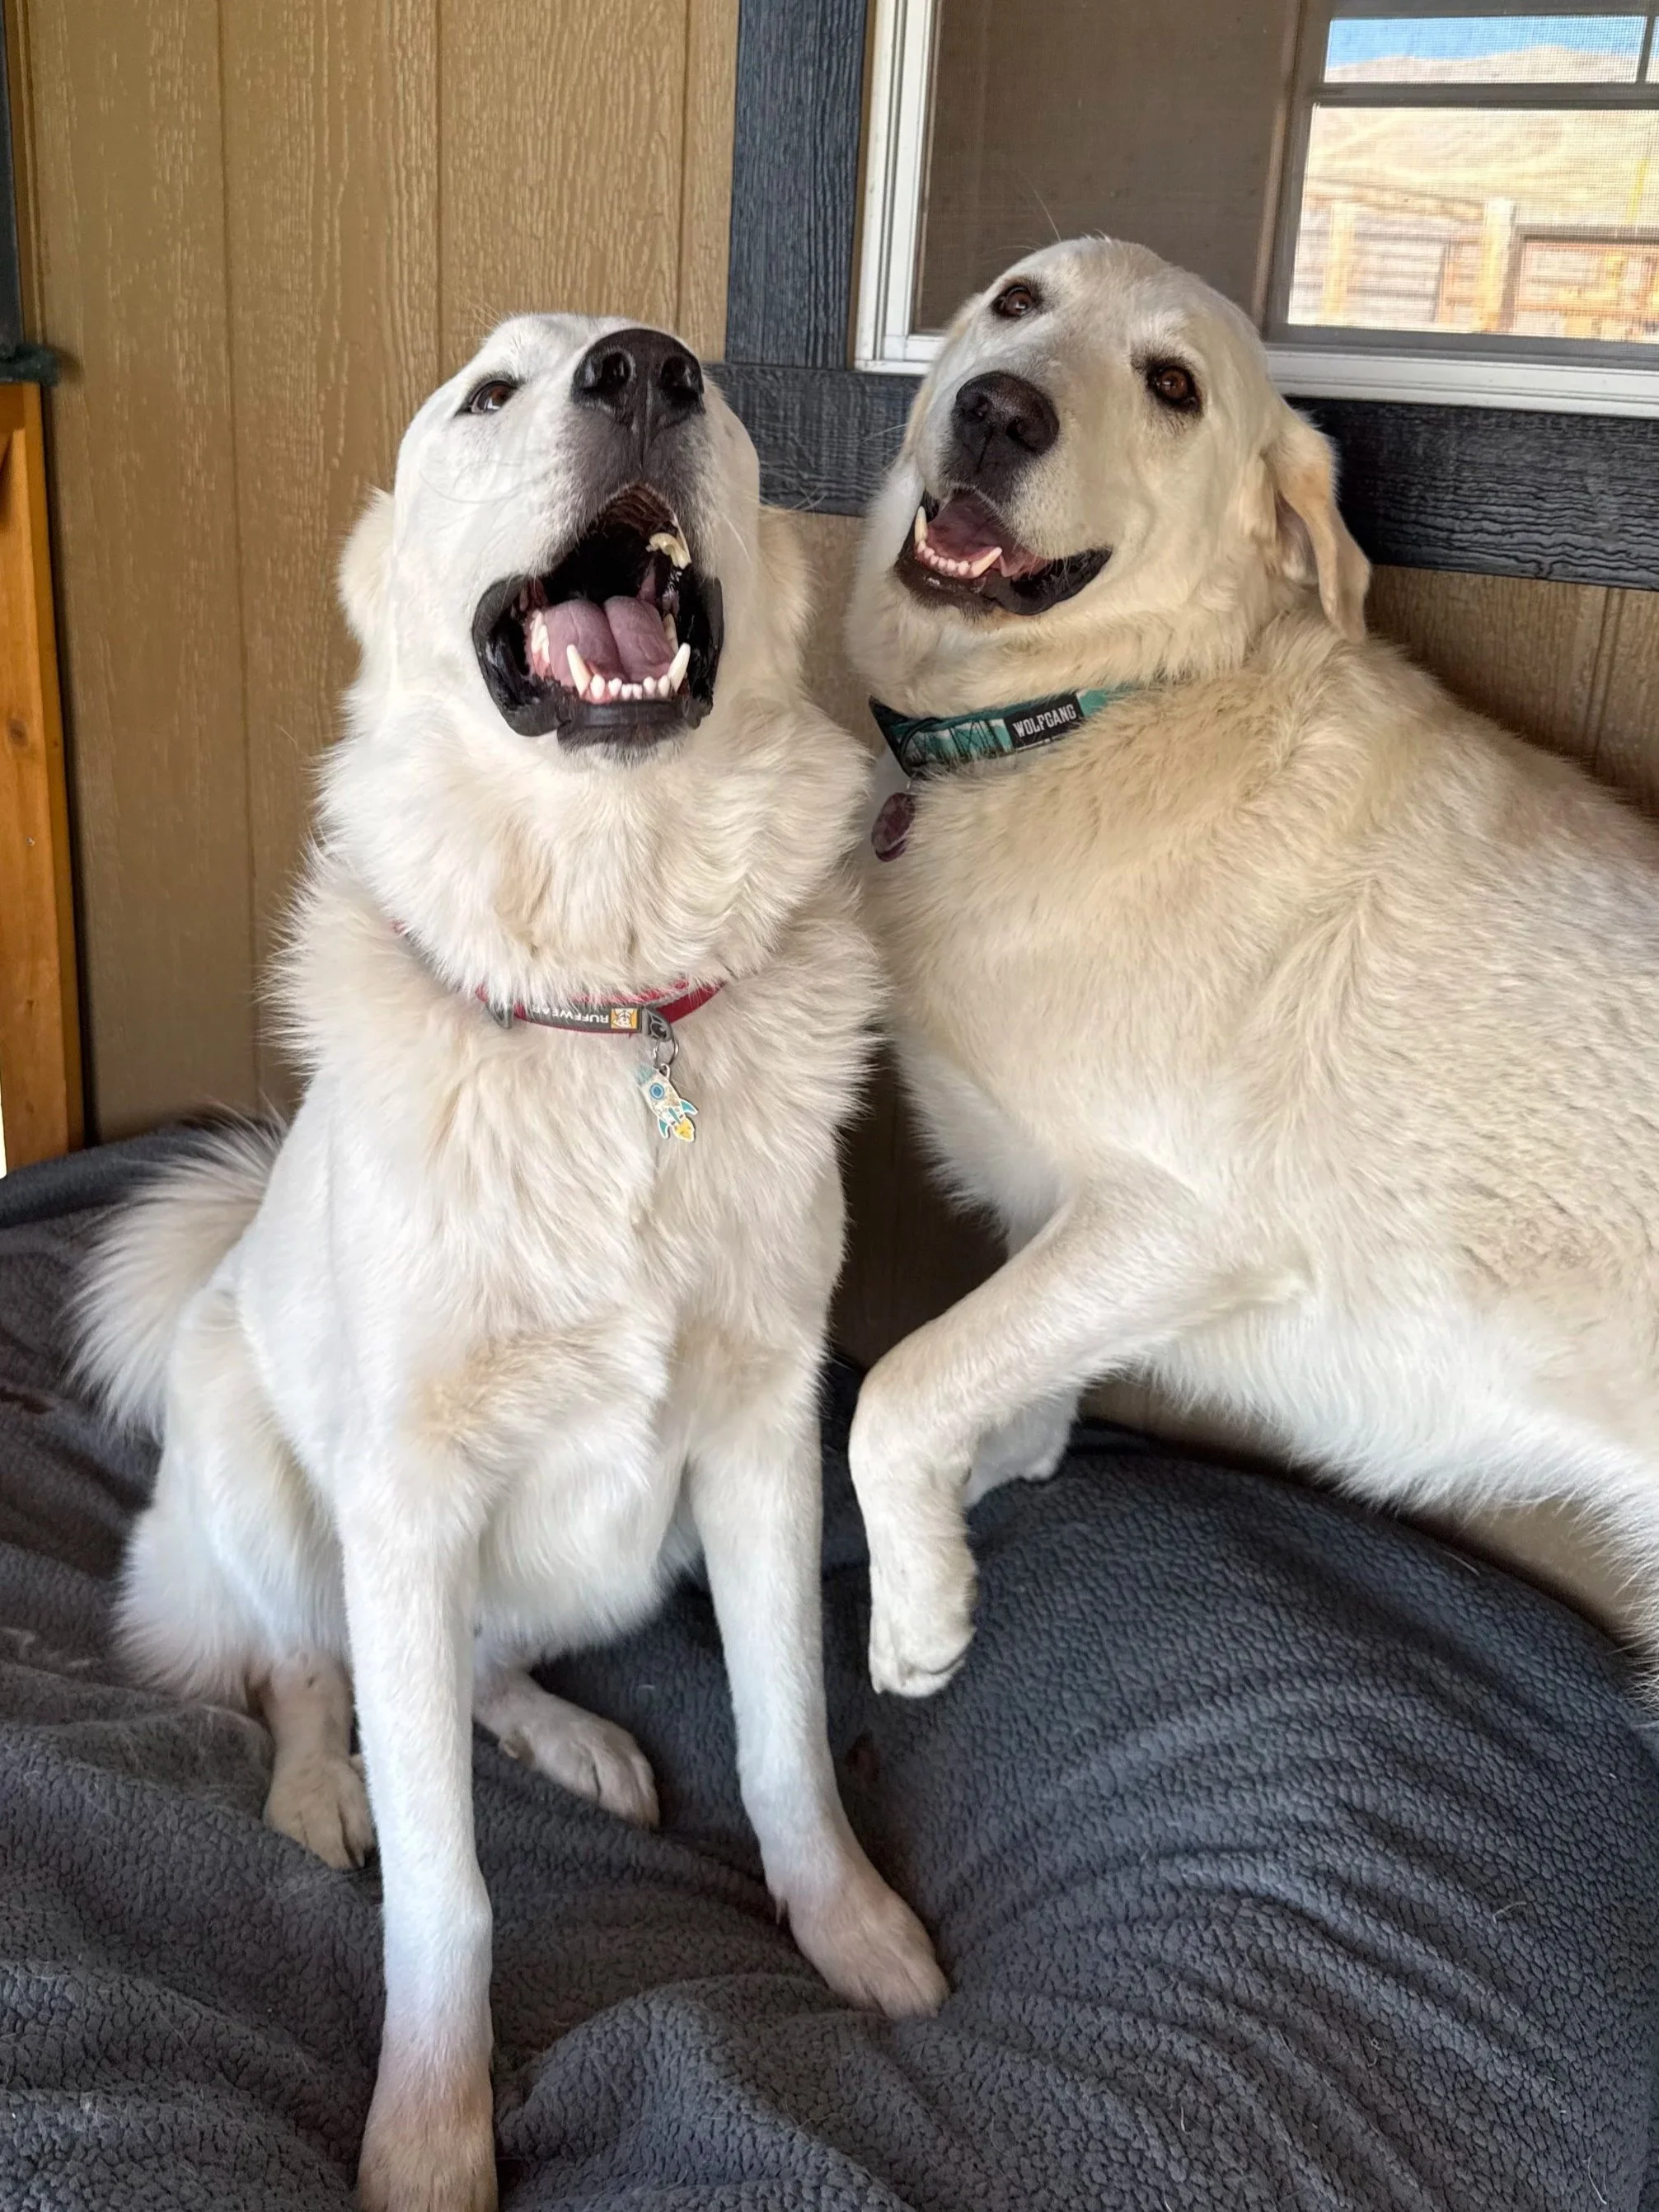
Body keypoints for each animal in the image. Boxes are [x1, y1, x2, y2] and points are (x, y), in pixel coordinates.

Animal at [75, 316, 944, 2212]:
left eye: (710, 395)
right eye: (487, 394)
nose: (645, 368)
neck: (606, 1012)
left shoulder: (761, 1447)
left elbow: (783, 1738)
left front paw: (843, 1926)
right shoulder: (404, 1505)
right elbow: (445, 1889)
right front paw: (428, 2130)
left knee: (481, 1667)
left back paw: (577, 1738)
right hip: (262, 1472)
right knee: (302, 1670)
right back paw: (319, 1791)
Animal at [844, 234, 1659, 1703]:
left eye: (1172, 385)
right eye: (1015, 303)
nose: (997, 409)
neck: (1080, 718)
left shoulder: (1182, 1222)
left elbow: (903, 1389)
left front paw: (915, 1608)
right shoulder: (1068, 1236)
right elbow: (1009, 1401)